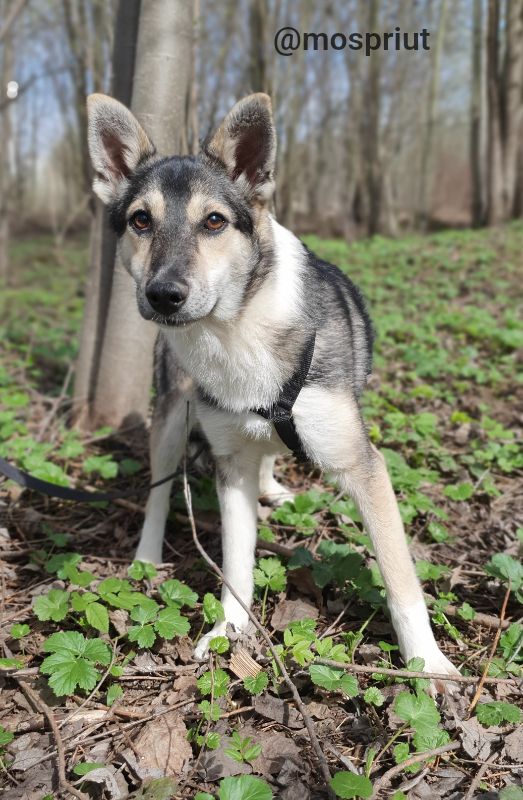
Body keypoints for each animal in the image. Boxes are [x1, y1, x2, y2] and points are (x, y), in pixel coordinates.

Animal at [86, 92, 458, 680]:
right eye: (140, 220)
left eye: (214, 221)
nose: (164, 294)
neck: (236, 328)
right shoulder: (229, 467)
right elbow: (236, 562)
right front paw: (228, 632)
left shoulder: (363, 465)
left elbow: (400, 578)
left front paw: (428, 664)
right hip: (170, 420)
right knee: (159, 492)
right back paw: (146, 557)